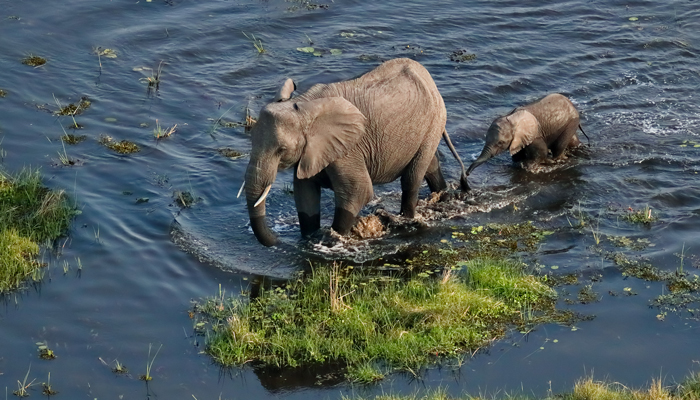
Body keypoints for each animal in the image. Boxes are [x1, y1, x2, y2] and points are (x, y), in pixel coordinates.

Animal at [241, 58, 469, 247]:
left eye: (281, 150)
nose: (278, 241)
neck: (303, 105)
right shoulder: (312, 151)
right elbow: (305, 194)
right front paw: (309, 240)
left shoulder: (348, 149)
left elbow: (358, 191)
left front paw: (332, 241)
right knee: (430, 165)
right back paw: (443, 197)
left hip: (435, 120)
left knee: (412, 179)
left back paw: (407, 218)